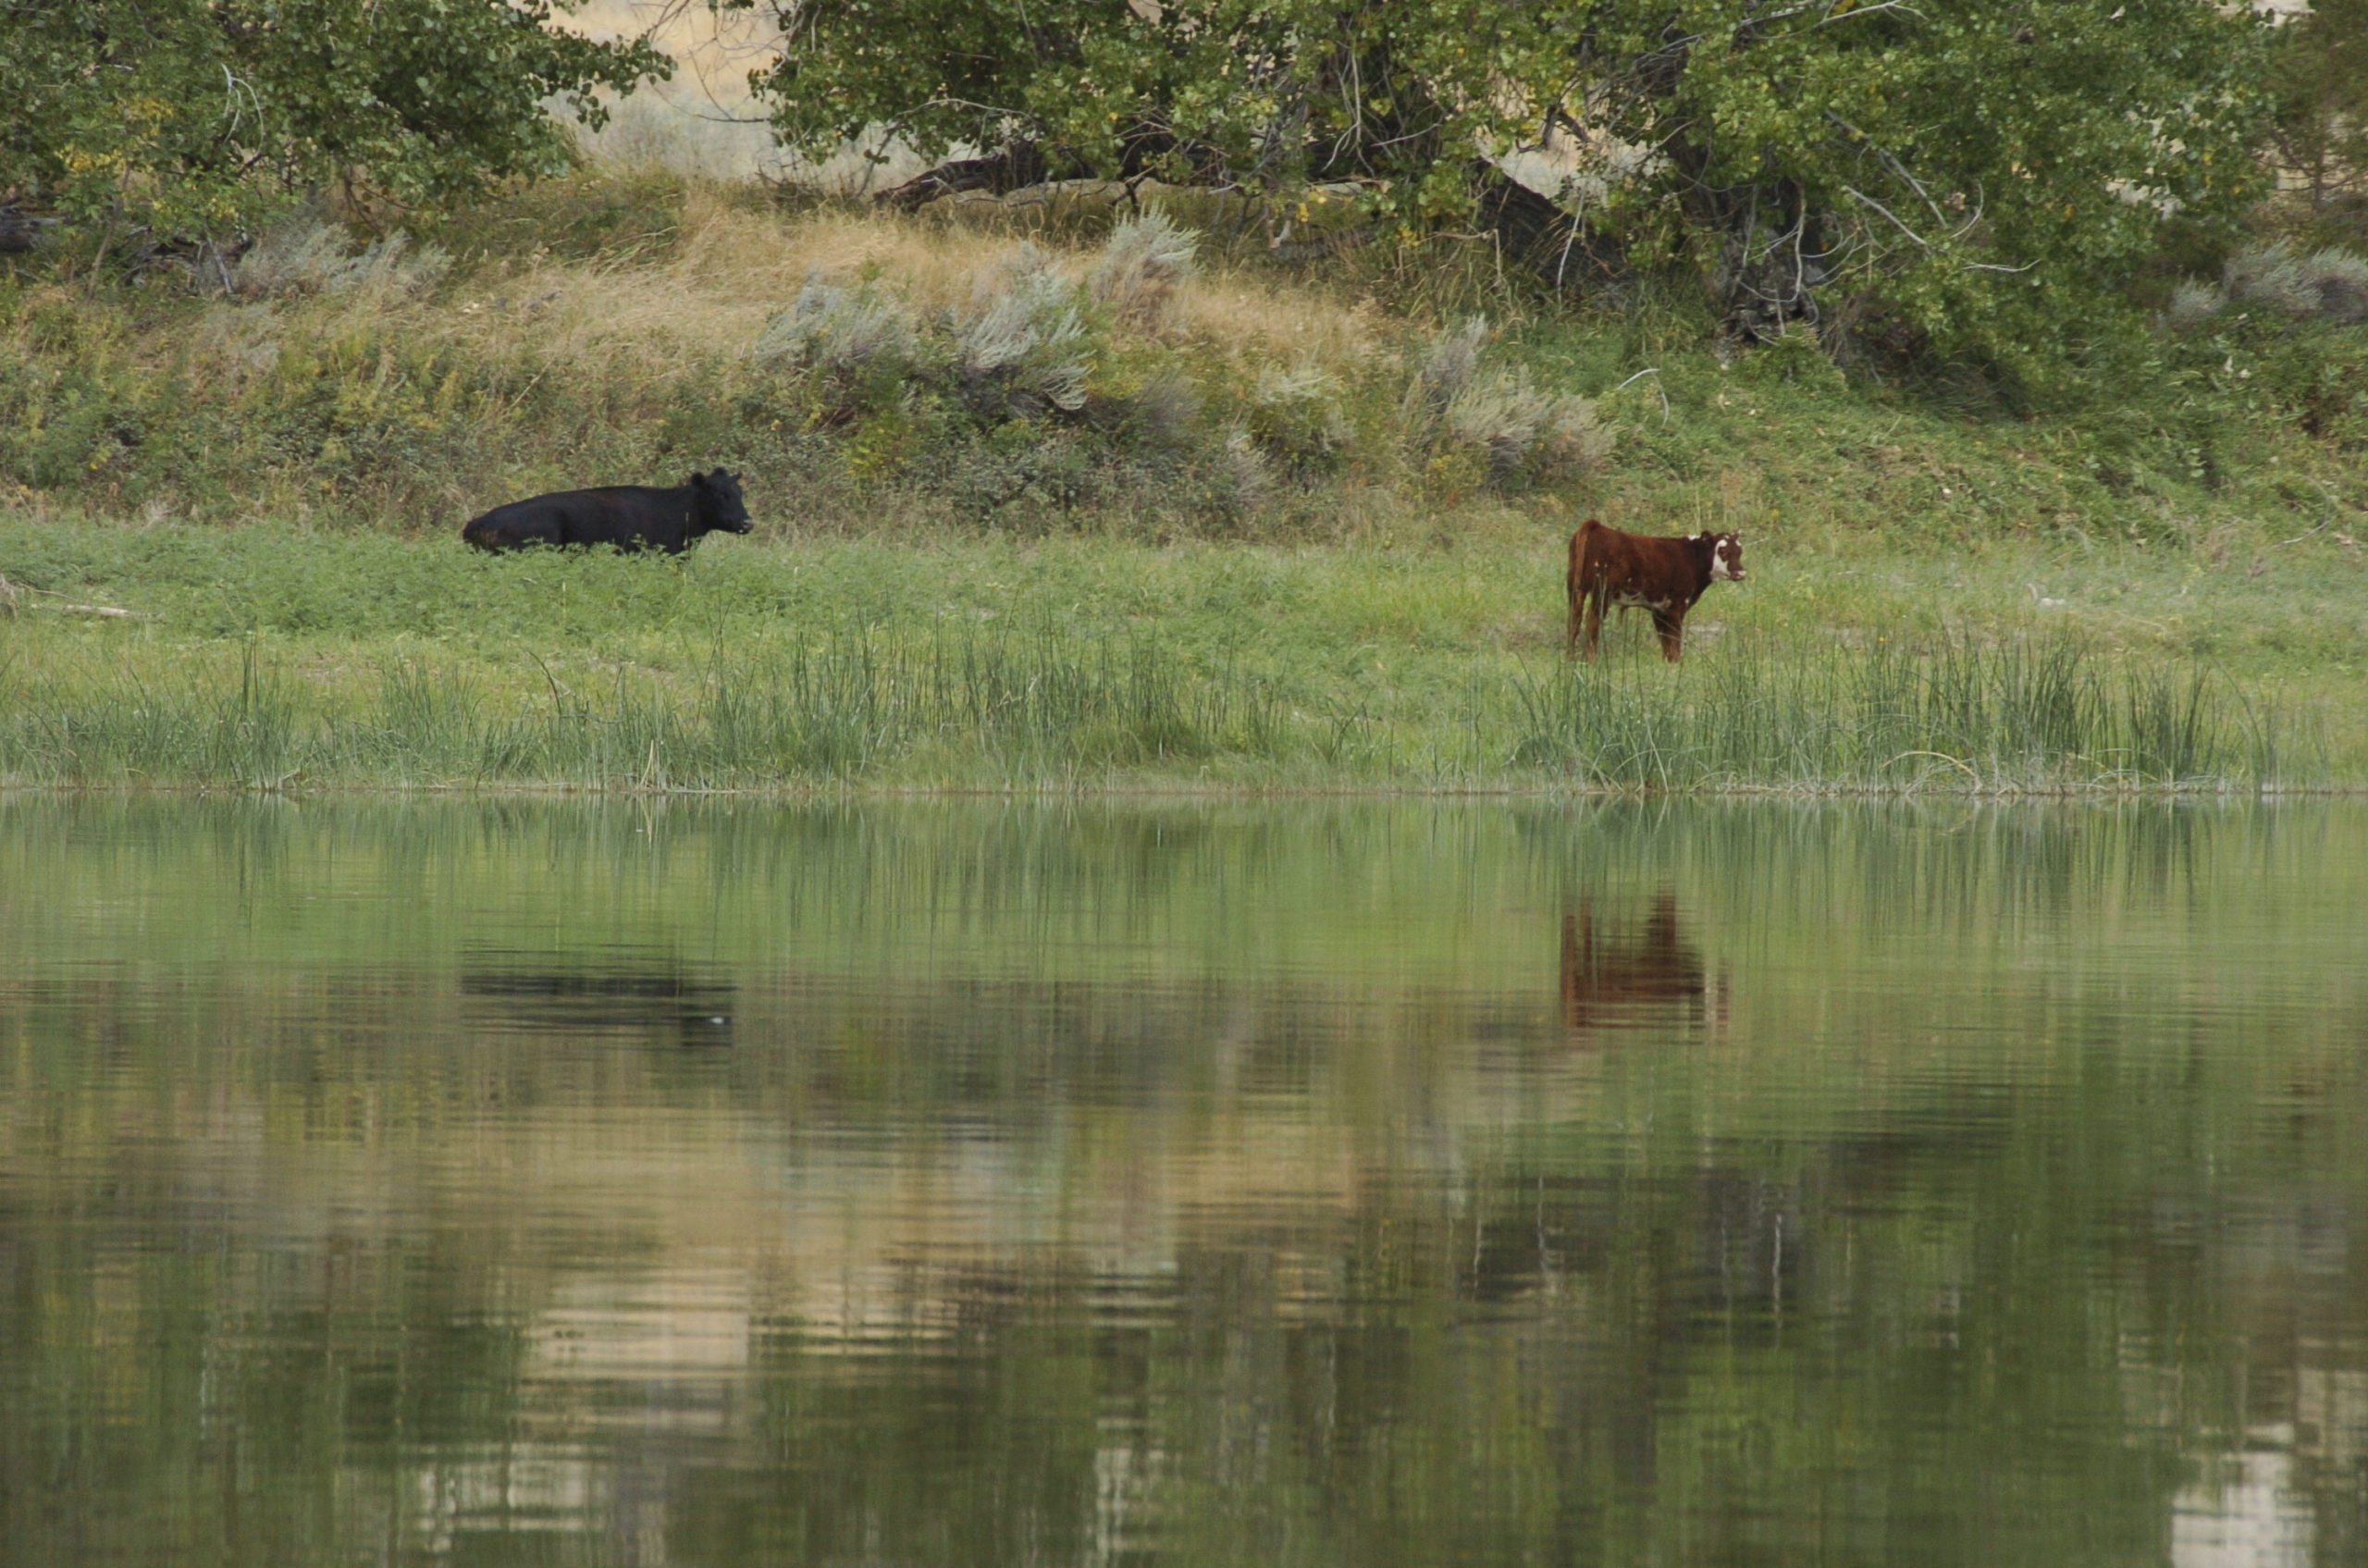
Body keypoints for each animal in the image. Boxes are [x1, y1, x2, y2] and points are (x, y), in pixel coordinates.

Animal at [1572, 518, 1743, 658]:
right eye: (1722, 551)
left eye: (1740, 551)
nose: (1740, 573)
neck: (1692, 557)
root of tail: (1597, 526)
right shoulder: (1677, 605)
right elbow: (1674, 641)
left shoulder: (1660, 609)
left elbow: (1665, 642)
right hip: (1602, 592)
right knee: (1592, 621)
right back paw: (1591, 659)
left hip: (1576, 589)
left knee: (1575, 619)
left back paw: (1570, 657)